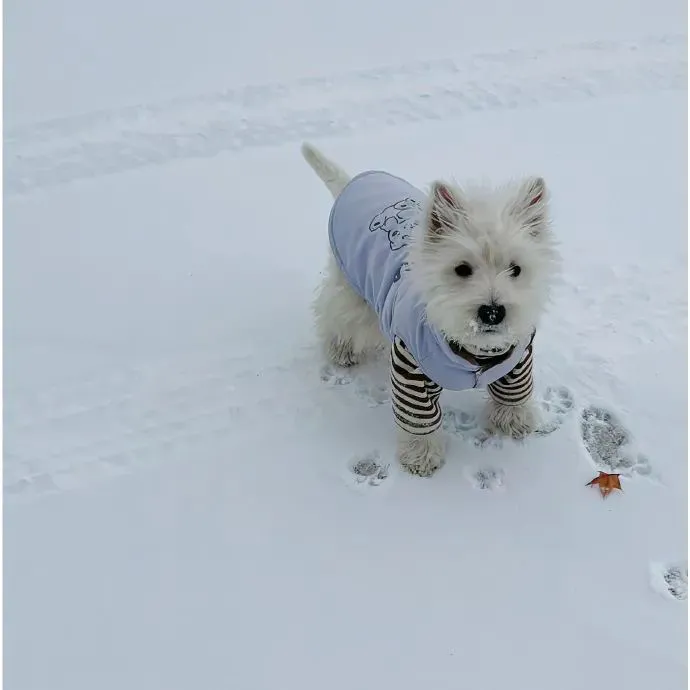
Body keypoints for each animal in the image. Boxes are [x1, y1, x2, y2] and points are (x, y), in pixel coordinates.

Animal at [300, 140, 560, 472]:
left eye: (516, 269)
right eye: (462, 269)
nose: (492, 312)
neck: (475, 354)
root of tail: (352, 182)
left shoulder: (517, 359)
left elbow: (514, 392)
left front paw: (515, 420)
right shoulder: (410, 368)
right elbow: (418, 419)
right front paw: (421, 457)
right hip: (349, 283)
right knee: (338, 316)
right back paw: (342, 351)